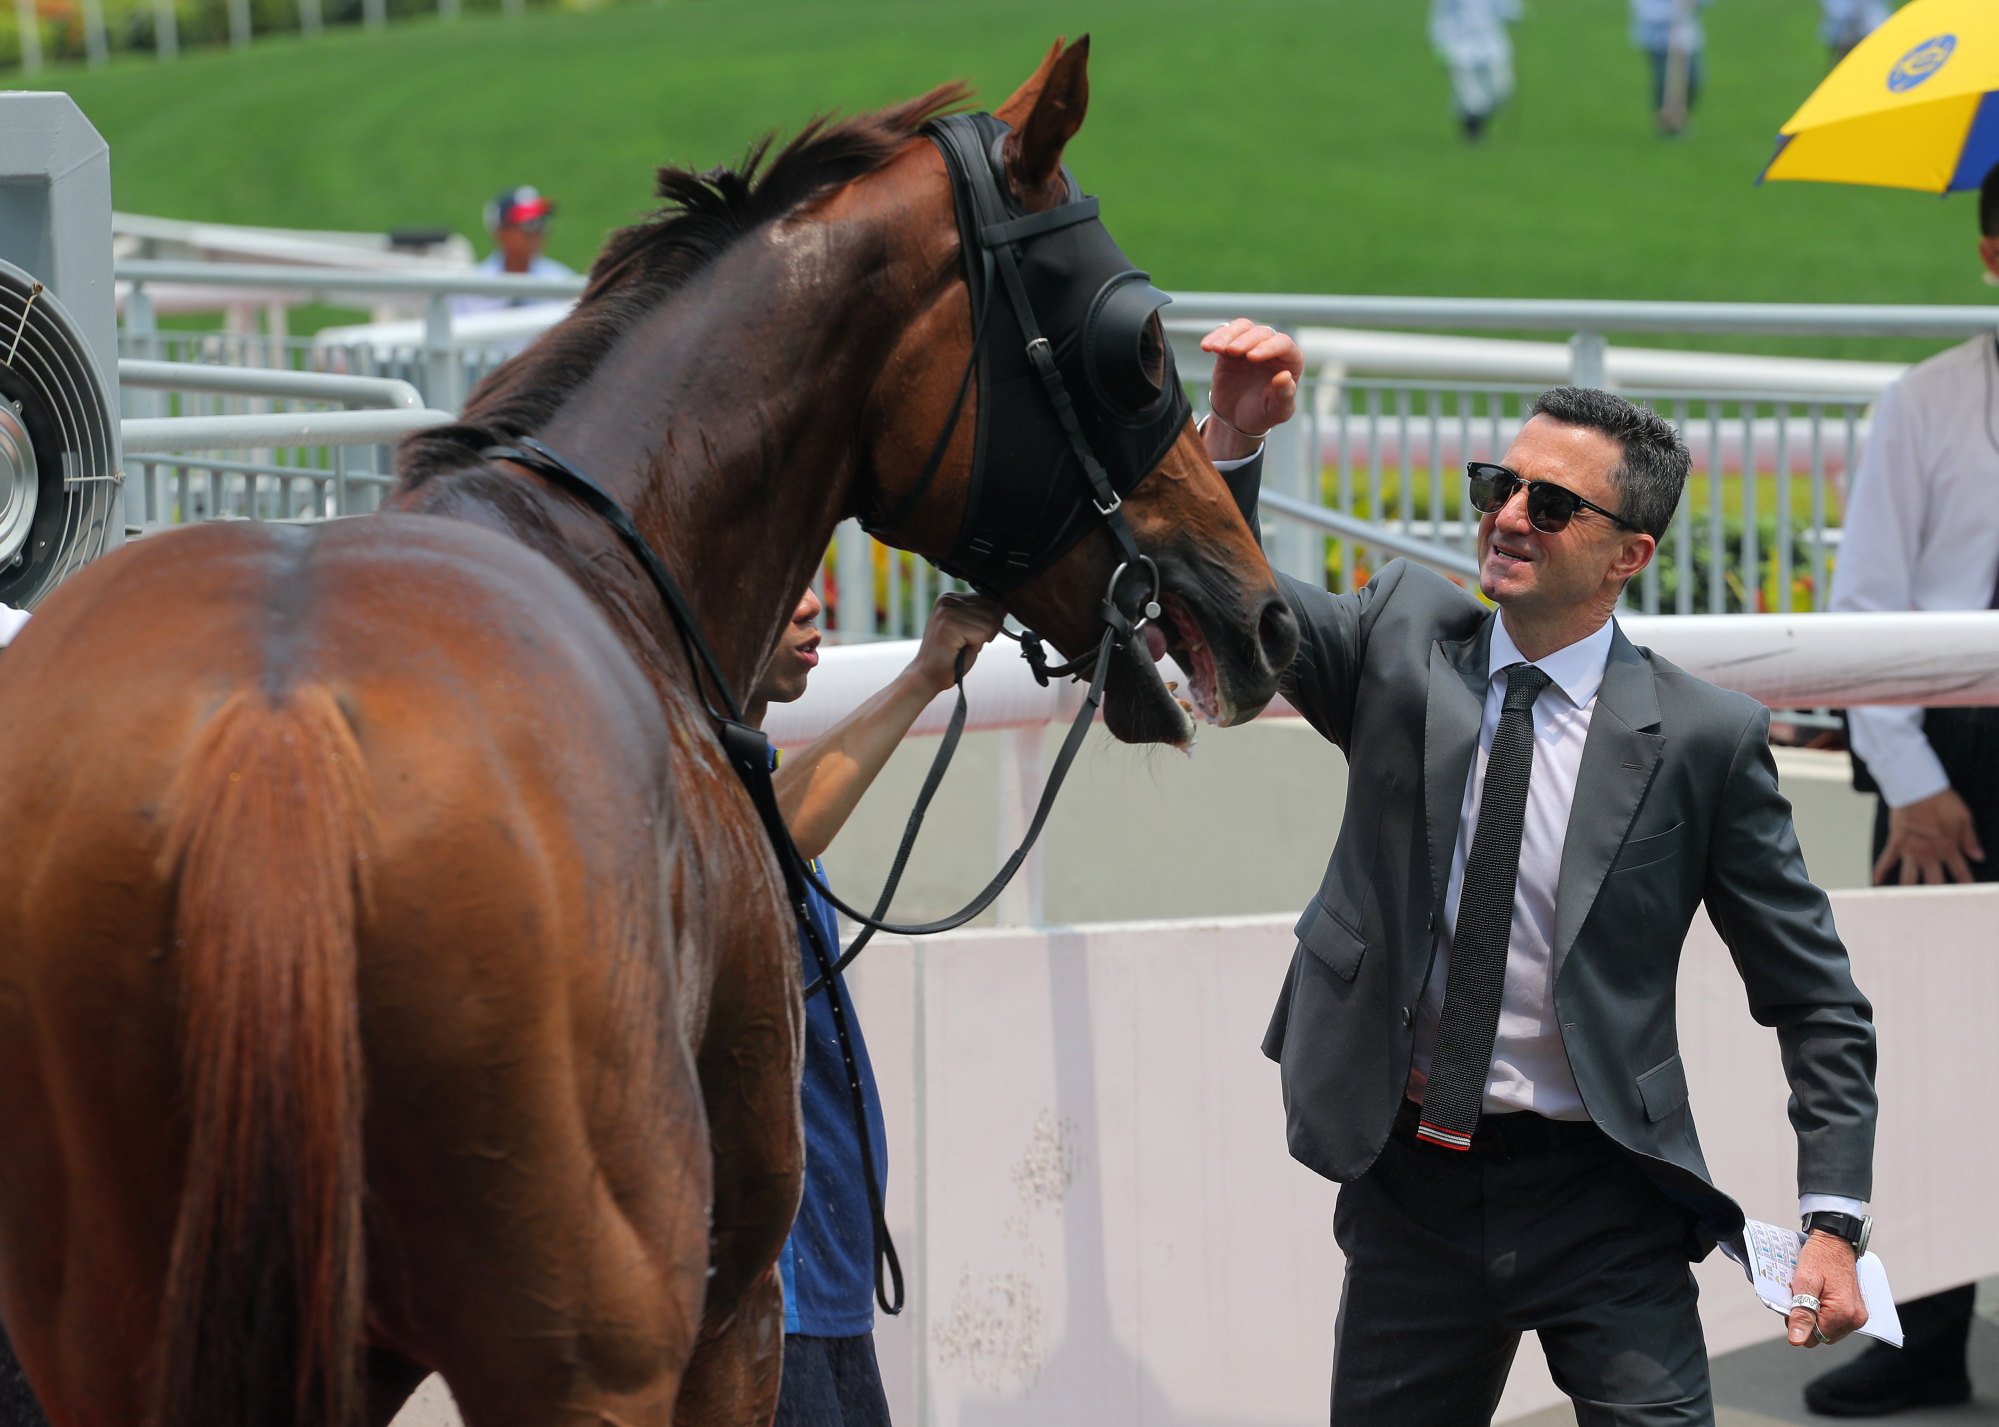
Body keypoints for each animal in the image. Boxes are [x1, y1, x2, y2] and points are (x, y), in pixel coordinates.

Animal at [0, 36, 1295, 1423]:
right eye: (1141, 341)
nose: (1264, 612)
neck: (616, 544)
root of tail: (279, 744)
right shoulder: (732, 1308)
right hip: (591, 1336)